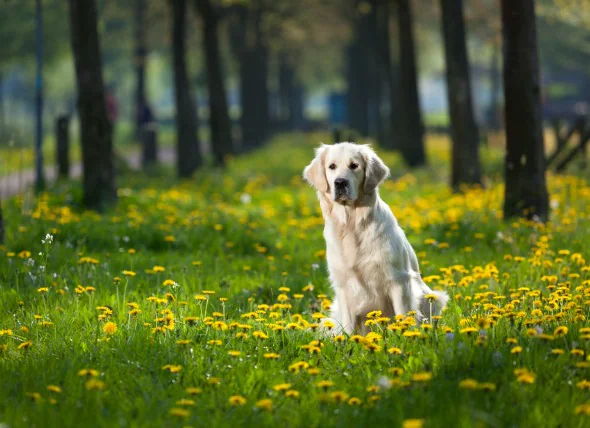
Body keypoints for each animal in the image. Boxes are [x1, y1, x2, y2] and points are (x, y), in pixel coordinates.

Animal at [306, 143, 448, 334]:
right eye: (332, 166)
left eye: (354, 166)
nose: (340, 182)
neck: (352, 225)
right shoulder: (343, 285)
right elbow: (348, 326)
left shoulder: (398, 280)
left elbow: (403, 315)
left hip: (431, 297)